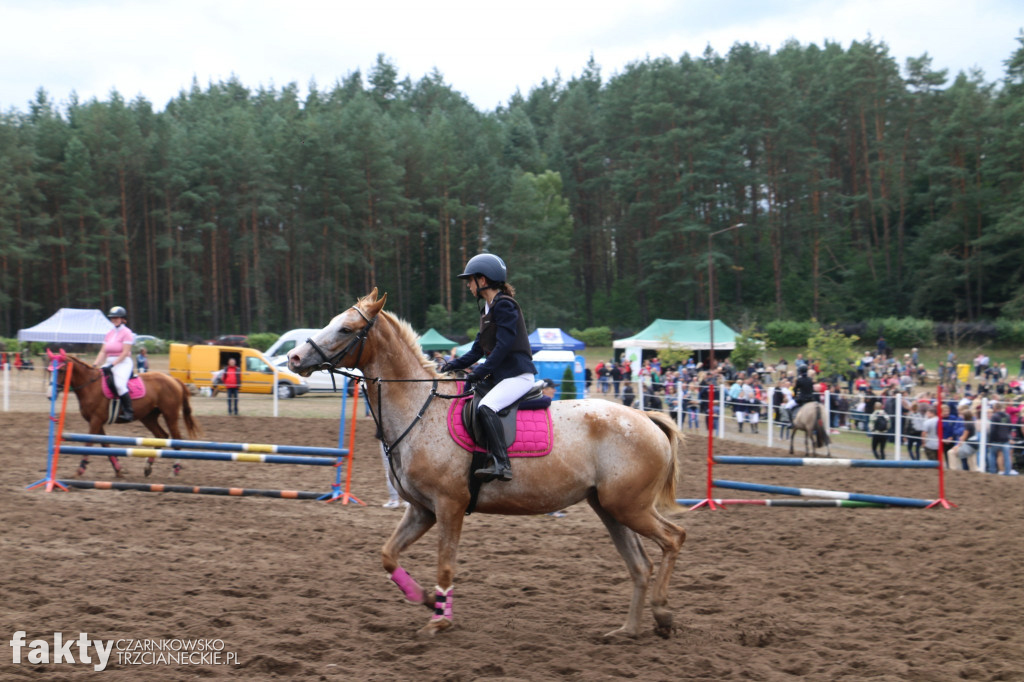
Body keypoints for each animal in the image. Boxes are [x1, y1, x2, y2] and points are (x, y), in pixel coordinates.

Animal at [50, 350, 202, 473]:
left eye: (61, 370)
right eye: (50, 371)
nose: (51, 394)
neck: (90, 385)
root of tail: (173, 379)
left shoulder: (96, 420)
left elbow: (89, 443)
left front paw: (80, 469)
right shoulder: (97, 422)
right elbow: (104, 445)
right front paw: (118, 469)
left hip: (170, 415)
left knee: (176, 439)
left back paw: (175, 469)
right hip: (148, 417)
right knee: (161, 436)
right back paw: (148, 466)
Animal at [290, 288, 688, 638]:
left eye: (346, 329)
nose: (294, 358)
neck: (421, 409)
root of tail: (646, 419)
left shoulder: (449, 506)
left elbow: (445, 564)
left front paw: (440, 620)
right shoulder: (422, 510)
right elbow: (388, 555)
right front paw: (426, 599)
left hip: (629, 506)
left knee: (673, 538)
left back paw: (663, 613)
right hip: (609, 508)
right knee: (640, 565)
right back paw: (629, 630)